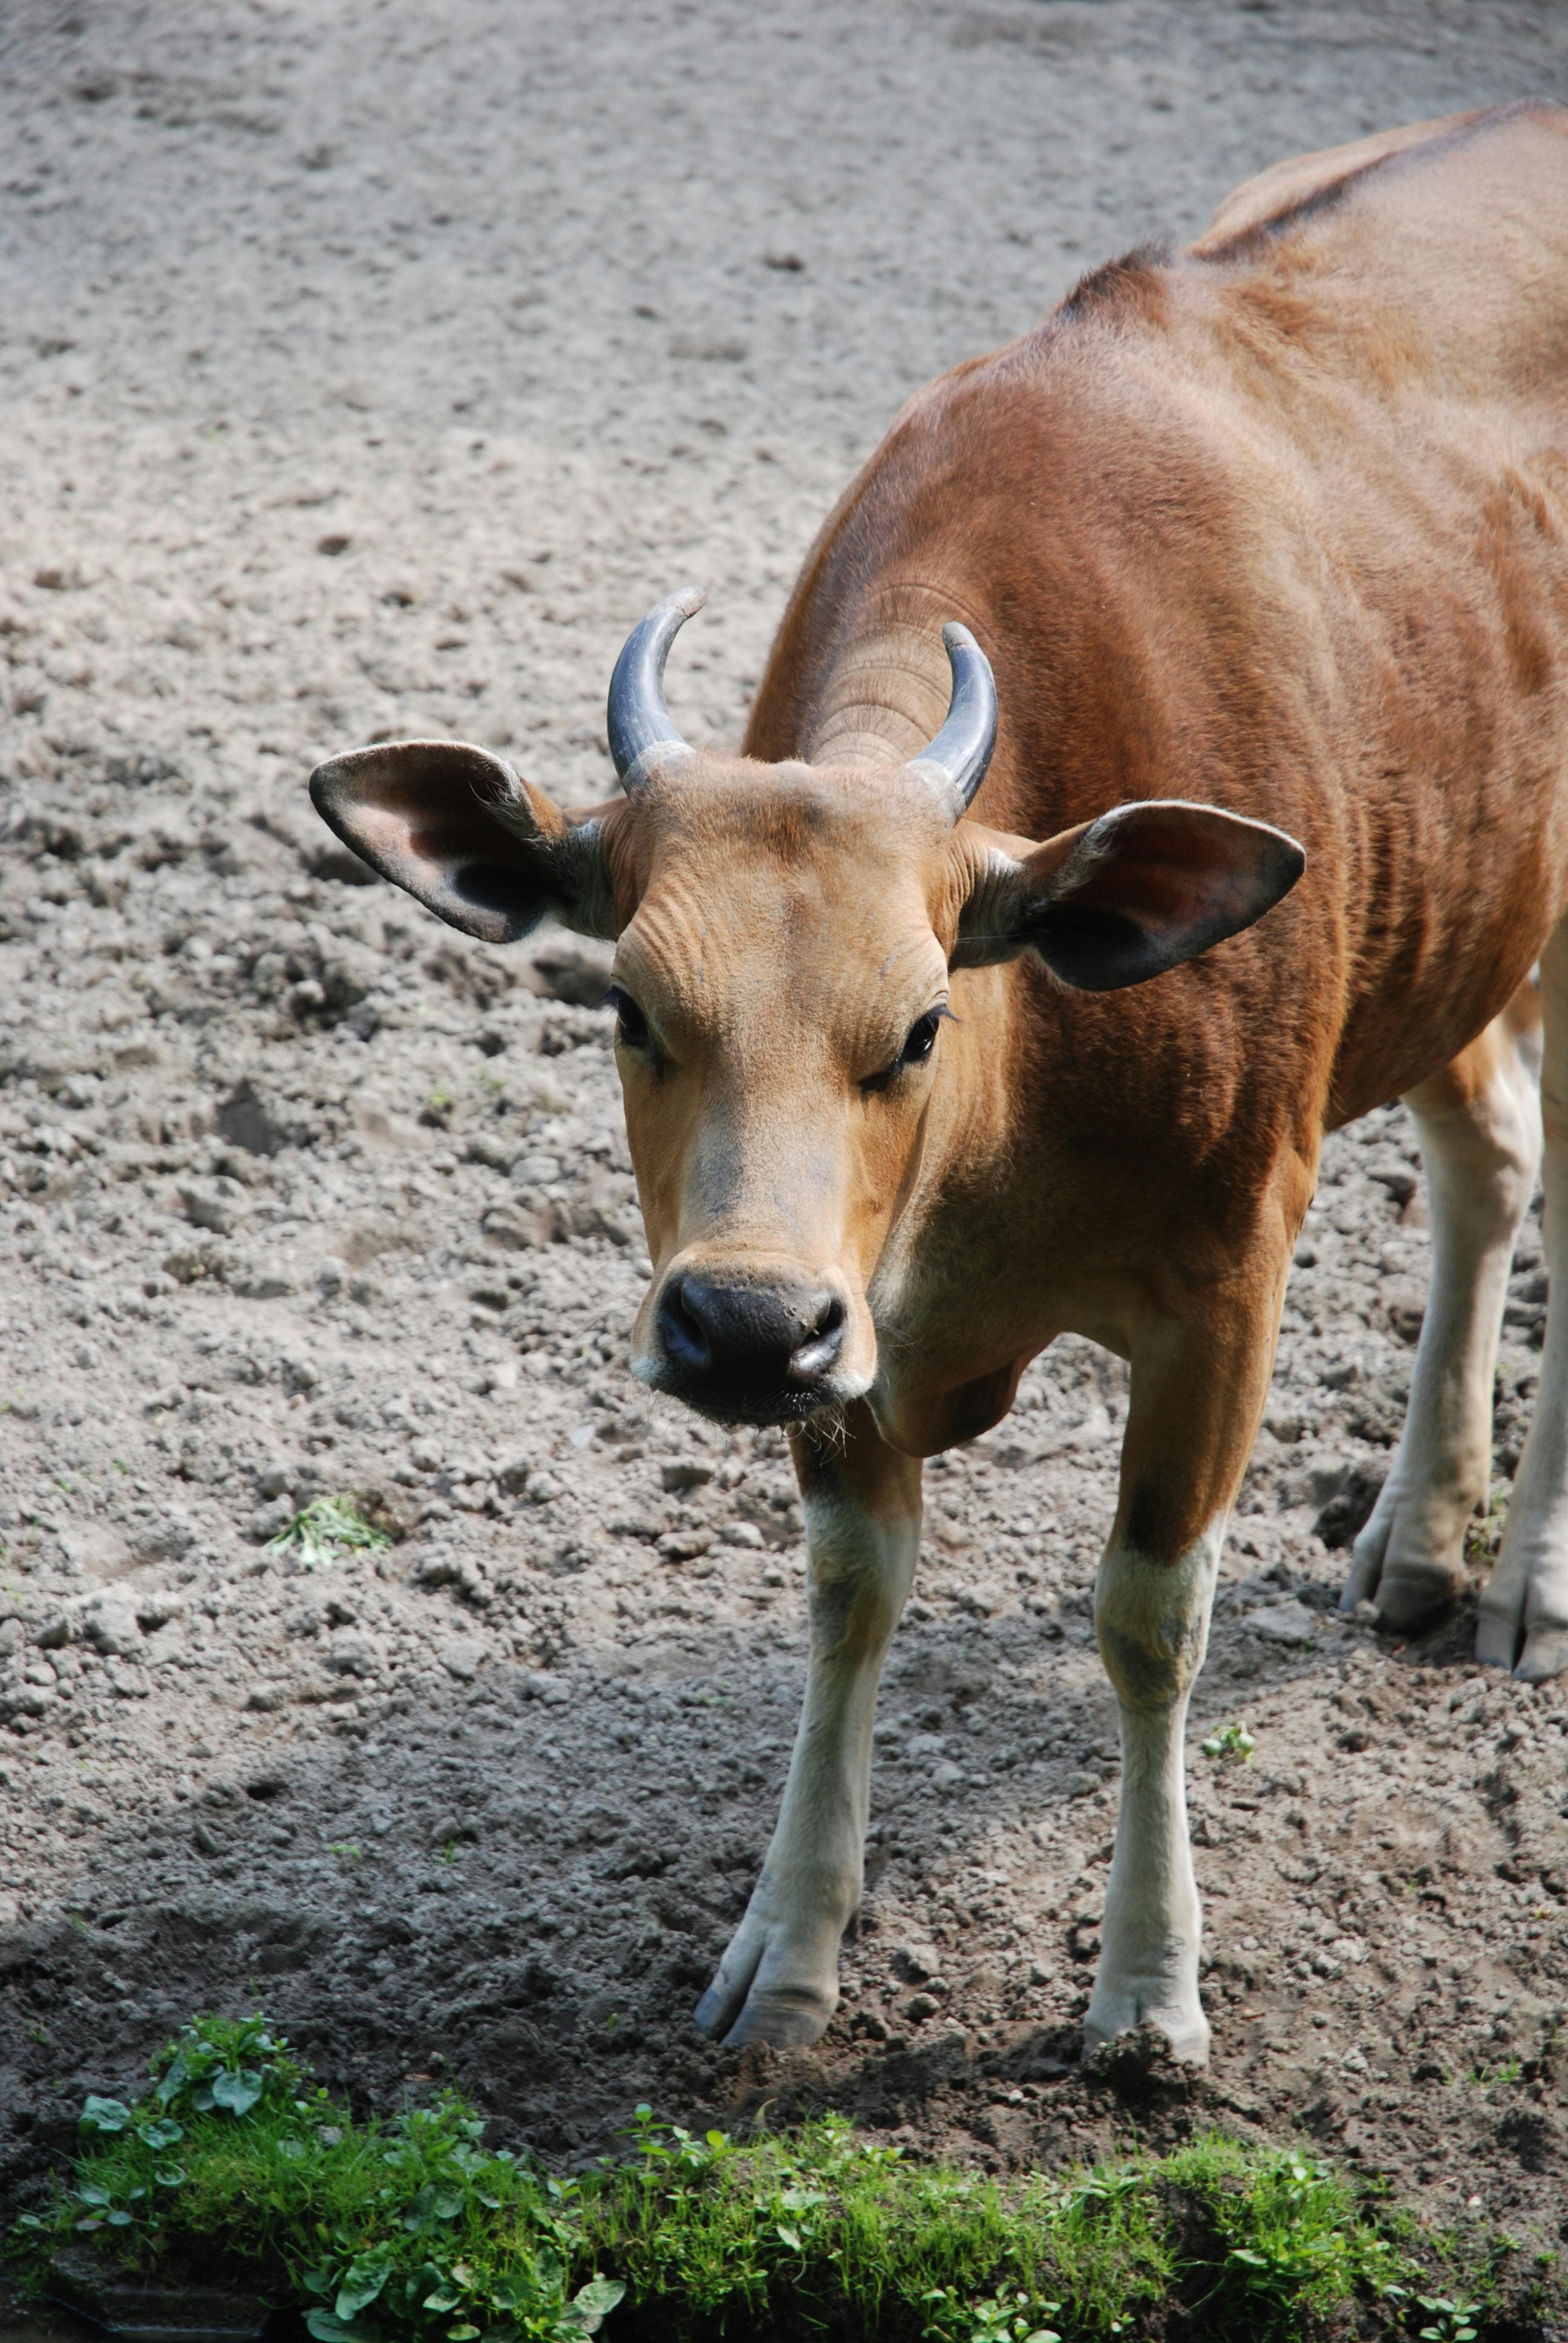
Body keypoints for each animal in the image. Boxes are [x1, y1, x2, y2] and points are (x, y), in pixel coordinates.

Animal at [309, 105, 1566, 2071]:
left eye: (918, 1024)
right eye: (630, 1005)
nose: (740, 1328)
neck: (1005, 1143)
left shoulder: (1227, 1284)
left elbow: (1150, 1614)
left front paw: (1147, 1990)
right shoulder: (855, 1324)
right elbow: (852, 1590)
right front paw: (785, 1946)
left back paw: (1522, 1582)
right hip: (1456, 920)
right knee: (1492, 1152)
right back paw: (1423, 1543)